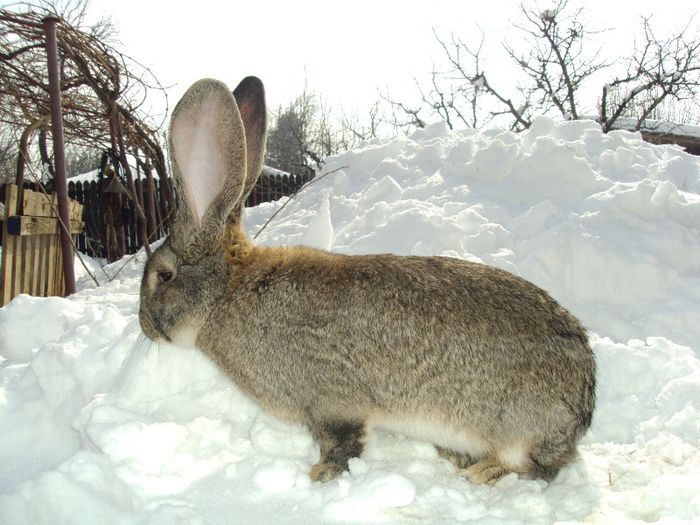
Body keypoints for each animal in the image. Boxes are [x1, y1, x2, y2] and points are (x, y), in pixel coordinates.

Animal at [141, 75, 596, 486]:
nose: (145, 327)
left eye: (163, 275)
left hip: (516, 428)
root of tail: (583, 404)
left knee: (534, 465)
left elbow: (341, 443)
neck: (229, 290)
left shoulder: (329, 400)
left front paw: (320, 475)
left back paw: (479, 473)